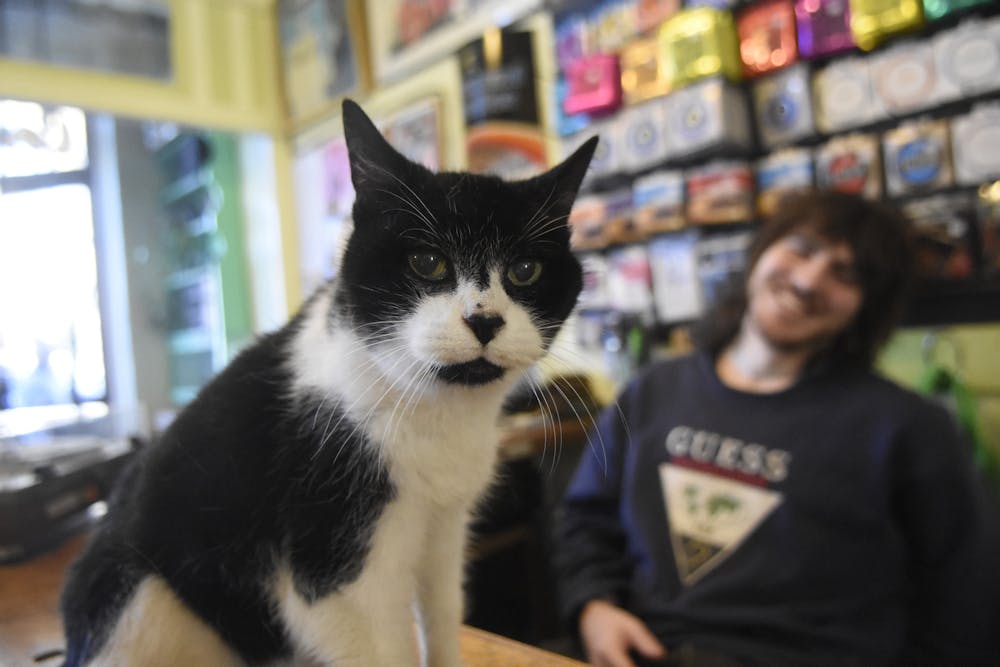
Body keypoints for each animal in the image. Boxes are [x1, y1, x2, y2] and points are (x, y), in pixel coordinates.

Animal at [60, 100, 592, 667]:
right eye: (428, 263)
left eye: (525, 270)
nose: (485, 320)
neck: (432, 412)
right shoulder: (333, 573)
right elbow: (378, 646)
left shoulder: (444, 529)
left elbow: (443, 614)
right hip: (141, 601)